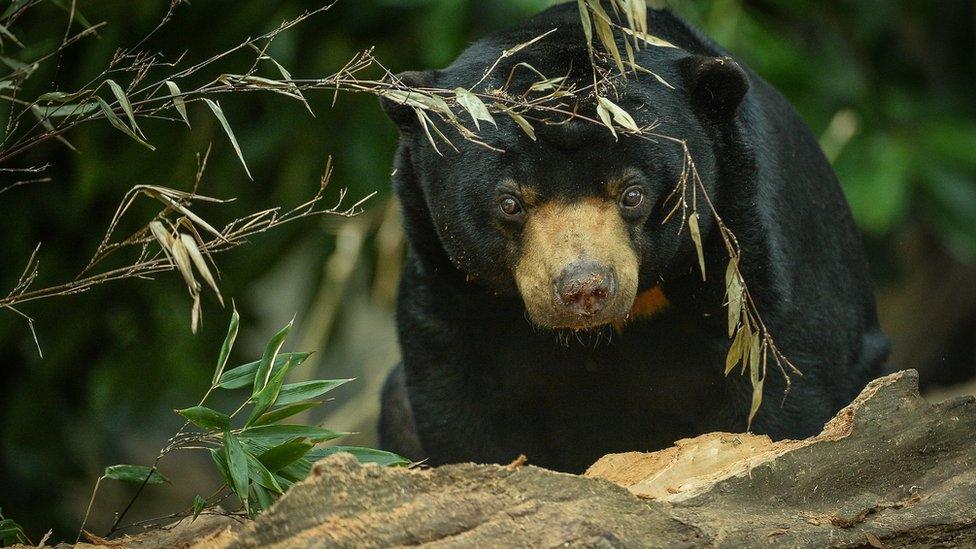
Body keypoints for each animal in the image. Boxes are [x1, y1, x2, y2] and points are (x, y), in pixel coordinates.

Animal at [376, 2, 892, 470]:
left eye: (632, 194)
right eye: (510, 202)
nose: (584, 289)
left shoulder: (748, 243)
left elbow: (779, 370)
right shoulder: (448, 283)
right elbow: (458, 396)